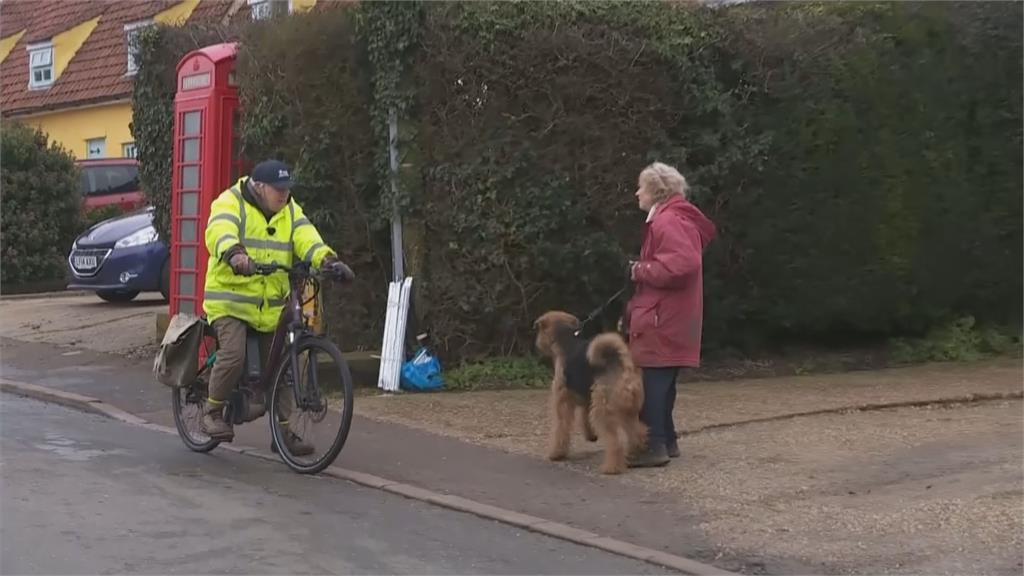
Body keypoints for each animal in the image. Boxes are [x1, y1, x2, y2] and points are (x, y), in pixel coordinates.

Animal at [532, 311, 643, 473]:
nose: (537, 345)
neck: (566, 343)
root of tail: (622, 368)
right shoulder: (587, 398)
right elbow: (584, 419)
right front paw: (591, 436)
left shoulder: (562, 400)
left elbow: (560, 427)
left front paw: (556, 454)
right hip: (629, 409)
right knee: (638, 433)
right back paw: (634, 455)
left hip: (604, 410)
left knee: (615, 442)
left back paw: (611, 468)